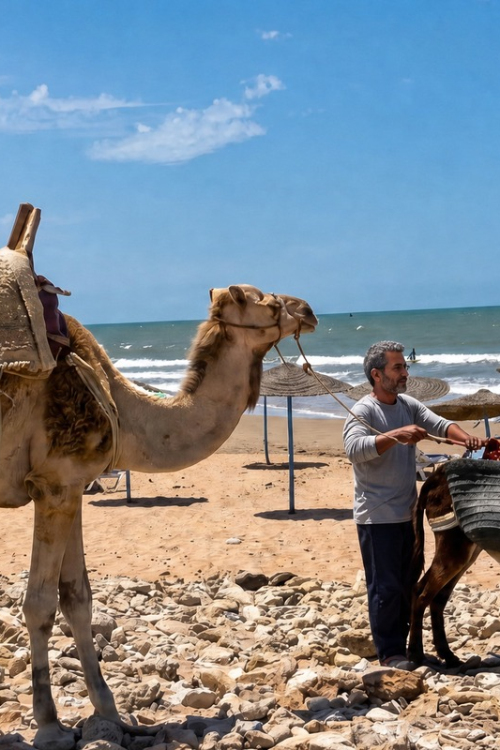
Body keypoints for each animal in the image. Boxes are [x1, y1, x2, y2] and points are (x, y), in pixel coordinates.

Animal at [0, 205, 318, 750]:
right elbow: (39, 603)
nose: (309, 308)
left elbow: (77, 596)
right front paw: (48, 723)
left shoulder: (69, 485)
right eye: (267, 301)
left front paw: (107, 712)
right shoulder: (56, 481)